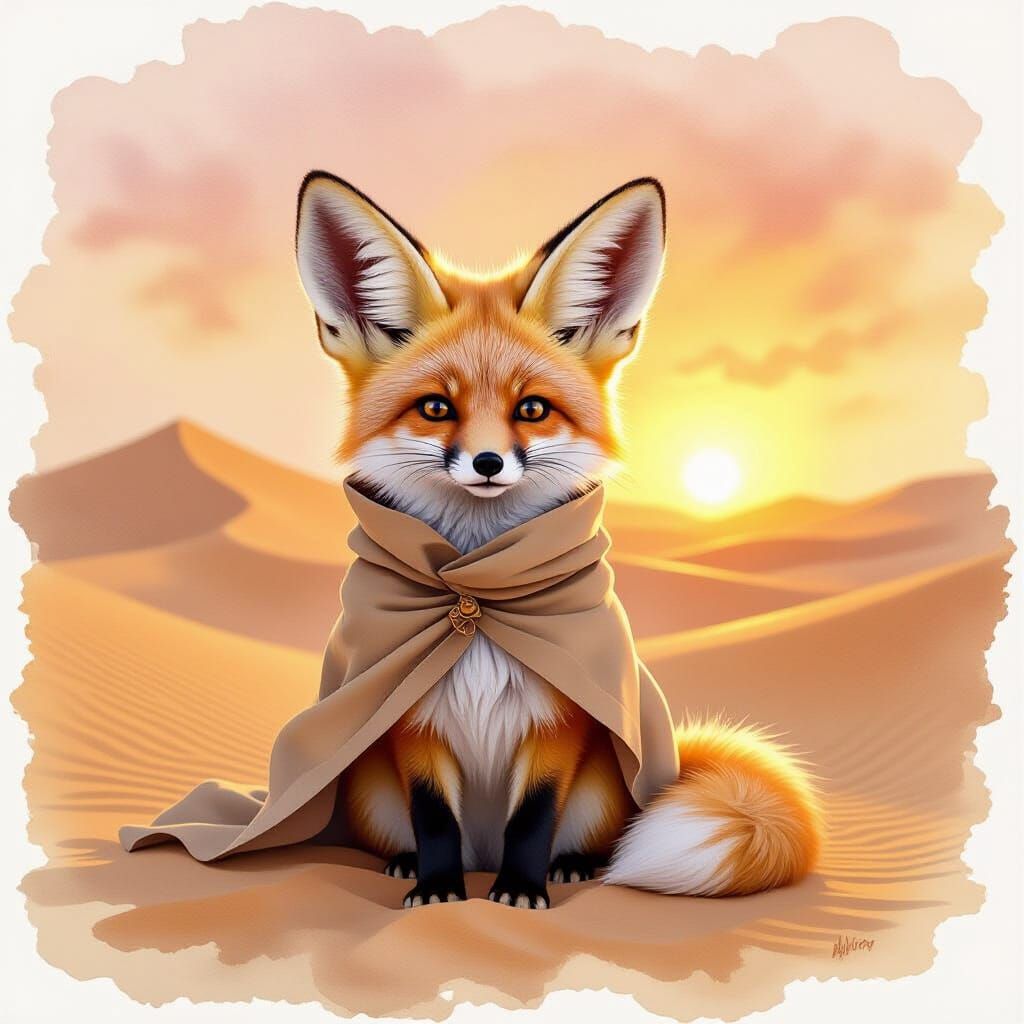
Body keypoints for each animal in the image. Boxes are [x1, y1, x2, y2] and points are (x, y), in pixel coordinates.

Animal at [294, 171, 823, 909]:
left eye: (532, 409)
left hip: (602, 790)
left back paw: (572, 865)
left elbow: (533, 816)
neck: (478, 596)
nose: (488, 463)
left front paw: (520, 891)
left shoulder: (561, 720)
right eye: (436, 407)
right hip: (371, 789)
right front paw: (437, 889)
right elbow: (434, 816)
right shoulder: (410, 719)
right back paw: (406, 863)